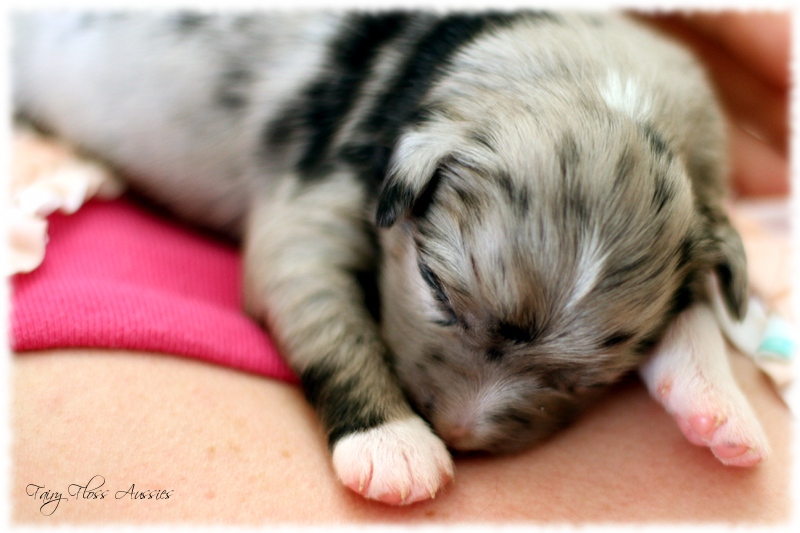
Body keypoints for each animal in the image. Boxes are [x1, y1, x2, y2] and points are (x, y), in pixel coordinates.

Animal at [9, 11, 764, 502]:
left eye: (586, 379)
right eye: (436, 290)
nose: (457, 432)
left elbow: (696, 306)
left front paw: (718, 404)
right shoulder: (315, 204)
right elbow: (330, 319)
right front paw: (393, 444)